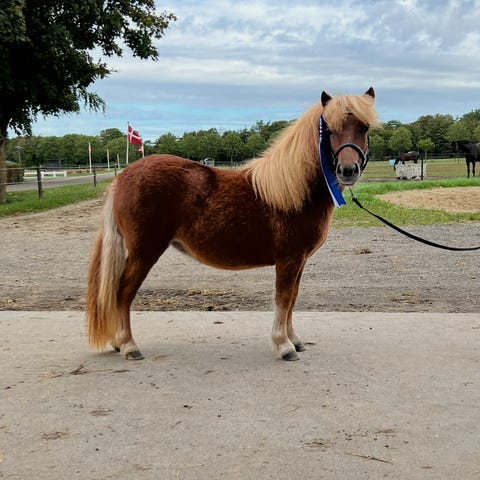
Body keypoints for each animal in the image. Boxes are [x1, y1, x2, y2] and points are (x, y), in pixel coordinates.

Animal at [86, 88, 379, 362]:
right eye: (329, 129)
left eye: (364, 127)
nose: (347, 170)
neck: (294, 191)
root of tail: (123, 177)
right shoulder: (289, 260)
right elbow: (283, 299)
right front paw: (283, 346)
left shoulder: (299, 261)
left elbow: (292, 298)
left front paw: (294, 340)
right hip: (144, 252)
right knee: (123, 293)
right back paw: (129, 345)